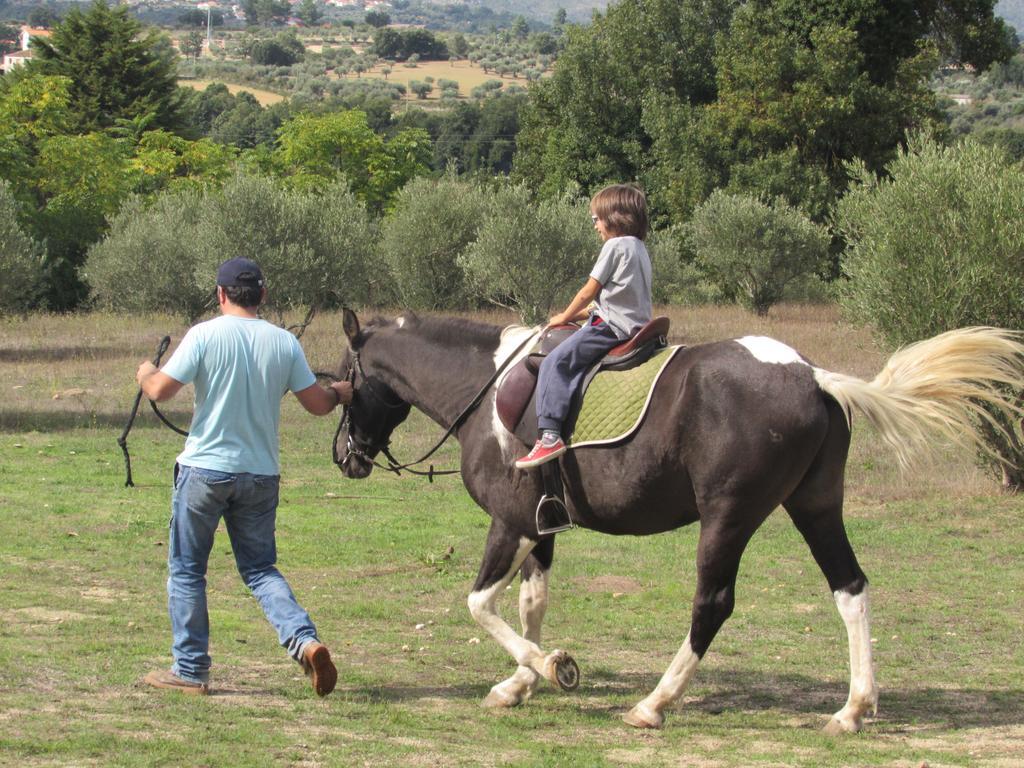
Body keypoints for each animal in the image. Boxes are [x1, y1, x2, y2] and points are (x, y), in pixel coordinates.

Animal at [331, 309, 1019, 737]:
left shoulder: (511, 522)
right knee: (850, 589)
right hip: (815, 506)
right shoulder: (543, 527)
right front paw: (521, 683)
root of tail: (810, 375)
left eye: (342, 382)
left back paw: (654, 704)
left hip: (728, 517)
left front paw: (551, 668)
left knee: (712, 604)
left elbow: (480, 604)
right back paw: (852, 709)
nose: (344, 456)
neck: (487, 390)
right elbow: (531, 604)